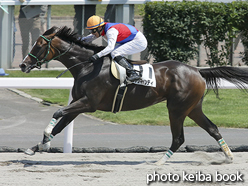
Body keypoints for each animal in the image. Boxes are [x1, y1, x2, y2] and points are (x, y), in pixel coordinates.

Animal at [19, 26, 248, 164]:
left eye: (39, 45)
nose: (22, 65)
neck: (87, 66)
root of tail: (197, 70)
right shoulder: (78, 104)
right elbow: (60, 125)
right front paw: (35, 147)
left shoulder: (88, 103)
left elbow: (57, 112)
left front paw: (44, 140)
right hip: (192, 108)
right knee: (213, 128)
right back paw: (228, 156)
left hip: (177, 108)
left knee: (179, 138)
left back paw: (160, 161)